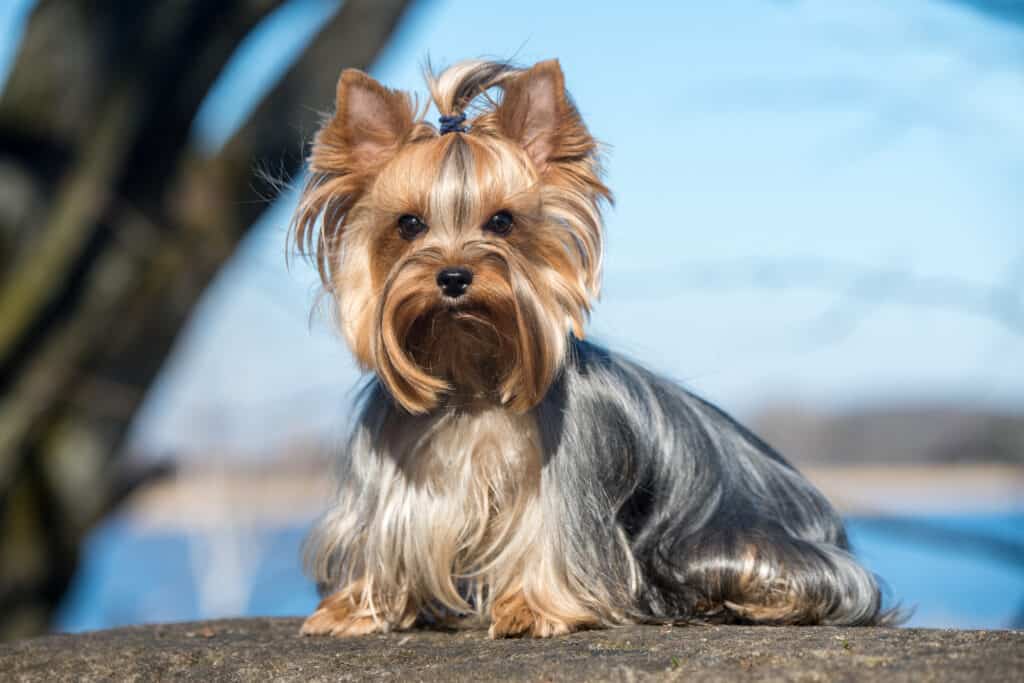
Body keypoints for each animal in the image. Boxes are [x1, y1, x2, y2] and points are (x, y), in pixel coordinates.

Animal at [290, 60, 888, 643]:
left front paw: (532, 608)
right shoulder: (393, 473)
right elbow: (380, 536)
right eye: (409, 224)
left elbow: (548, 537)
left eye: (502, 221)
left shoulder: (565, 478)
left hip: (727, 545)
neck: (471, 377)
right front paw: (353, 608)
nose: (454, 277)